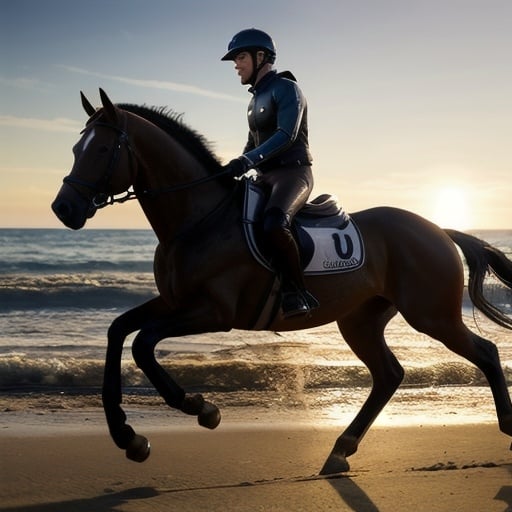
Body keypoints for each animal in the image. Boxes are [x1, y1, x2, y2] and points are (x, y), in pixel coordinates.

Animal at [51, 89, 512, 476]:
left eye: (104, 149)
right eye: (75, 149)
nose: (63, 208)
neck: (197, 220)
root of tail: (437, 229)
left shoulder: (213, 313)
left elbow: (144, 344)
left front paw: (201, 409)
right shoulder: (174, 302)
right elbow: (118, 332)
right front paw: (128, 437)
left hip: (431, 315)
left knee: (485, 352)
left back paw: (507, 430)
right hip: (360, 320)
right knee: (388, 374)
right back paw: (340, 450)